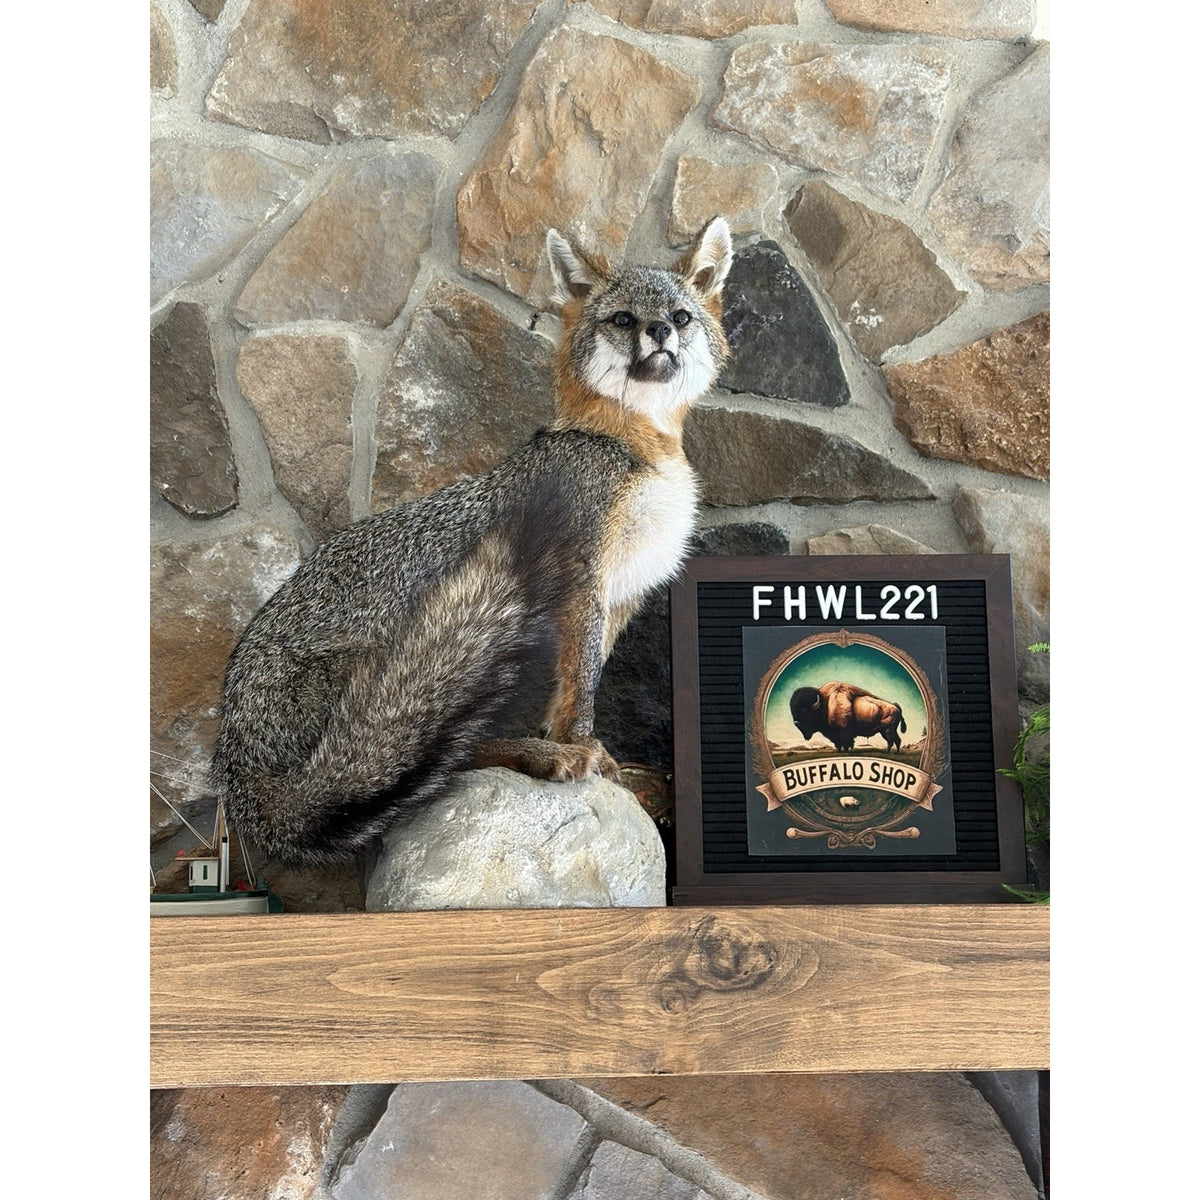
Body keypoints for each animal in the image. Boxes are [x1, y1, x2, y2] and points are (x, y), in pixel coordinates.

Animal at [211, 217, 733, 865]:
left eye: (680, 316)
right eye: (622, 319)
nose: (659, 330)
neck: (633, 448)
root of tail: (241, 779)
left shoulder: (620, 595)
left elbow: (572, 687)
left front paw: (592, 753)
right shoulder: (583, 579)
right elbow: (581, 687)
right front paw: (583, 750)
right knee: (440, 760)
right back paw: (539, 756)